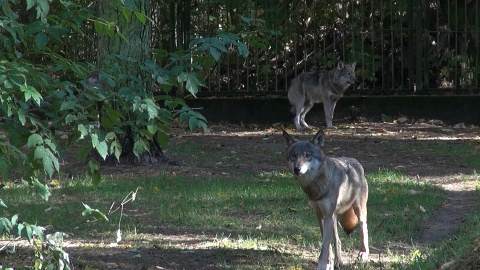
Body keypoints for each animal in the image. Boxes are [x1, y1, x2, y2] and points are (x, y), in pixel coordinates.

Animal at [284, 130, 370, 268]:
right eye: (293, 155)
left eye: (307, 155)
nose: (297, 169)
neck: (316, 186)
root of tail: (355, 161)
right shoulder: (320, 215)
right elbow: (327, 245)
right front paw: (329, 263)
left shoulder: (327, 216)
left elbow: (324, 247)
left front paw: (323, 265)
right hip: (334, 218)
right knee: (338, 240)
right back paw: (338, 262)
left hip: (359, 212)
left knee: (364, 230)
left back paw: (363, 254)